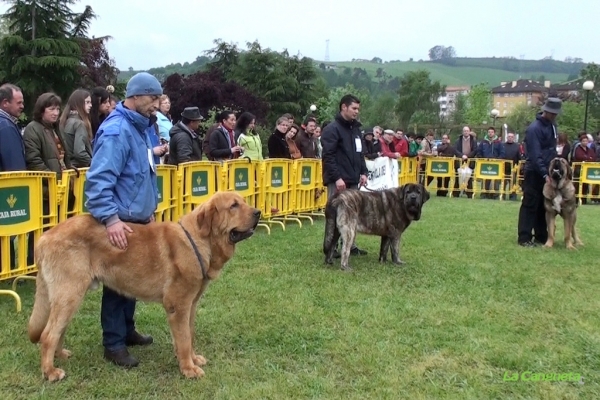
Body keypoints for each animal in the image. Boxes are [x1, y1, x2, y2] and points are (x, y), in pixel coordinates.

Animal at [28, 191, 260, 382]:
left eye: (243, 202)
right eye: (233, 206)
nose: (258, 212)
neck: (199, 240)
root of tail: (44, 237)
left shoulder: (191, 305)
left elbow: (189, 334)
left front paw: (192, 360)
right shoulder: (178, 306)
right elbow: (185, 339)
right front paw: (188, 369)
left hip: (70, 297)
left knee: (58, 330)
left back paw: (60, 355)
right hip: (70, 294)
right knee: (48, 335)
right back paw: (50, 372)